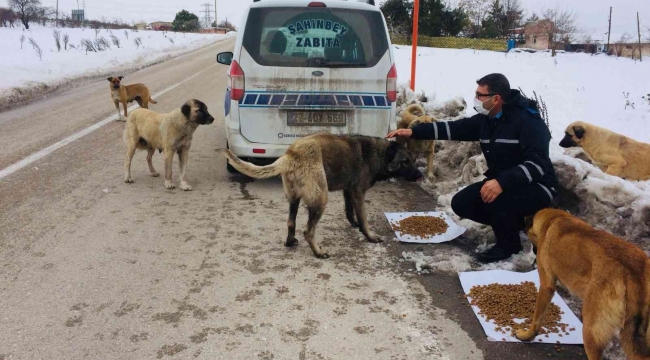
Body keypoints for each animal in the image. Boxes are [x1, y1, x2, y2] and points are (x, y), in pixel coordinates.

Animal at [219, 134, 420, 258]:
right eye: (405, 162)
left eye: (414, 160)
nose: (420, 176)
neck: (381, 152)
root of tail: (291, 155)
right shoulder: (358, 193)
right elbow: (364, 218)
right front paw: (369, 235)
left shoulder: (349, 191)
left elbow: (350, 212)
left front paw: (354, 224)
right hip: (320, 199)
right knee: (308, 231)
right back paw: (318, 252)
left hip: (294, 198)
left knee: (291, 222)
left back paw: (290, 241)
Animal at [512, 208, 644, 360]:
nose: (533, 252)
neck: (554, 218)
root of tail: (632, 272)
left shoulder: (546, 285)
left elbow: (537, 318)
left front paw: (527, 336)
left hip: (591, 331)